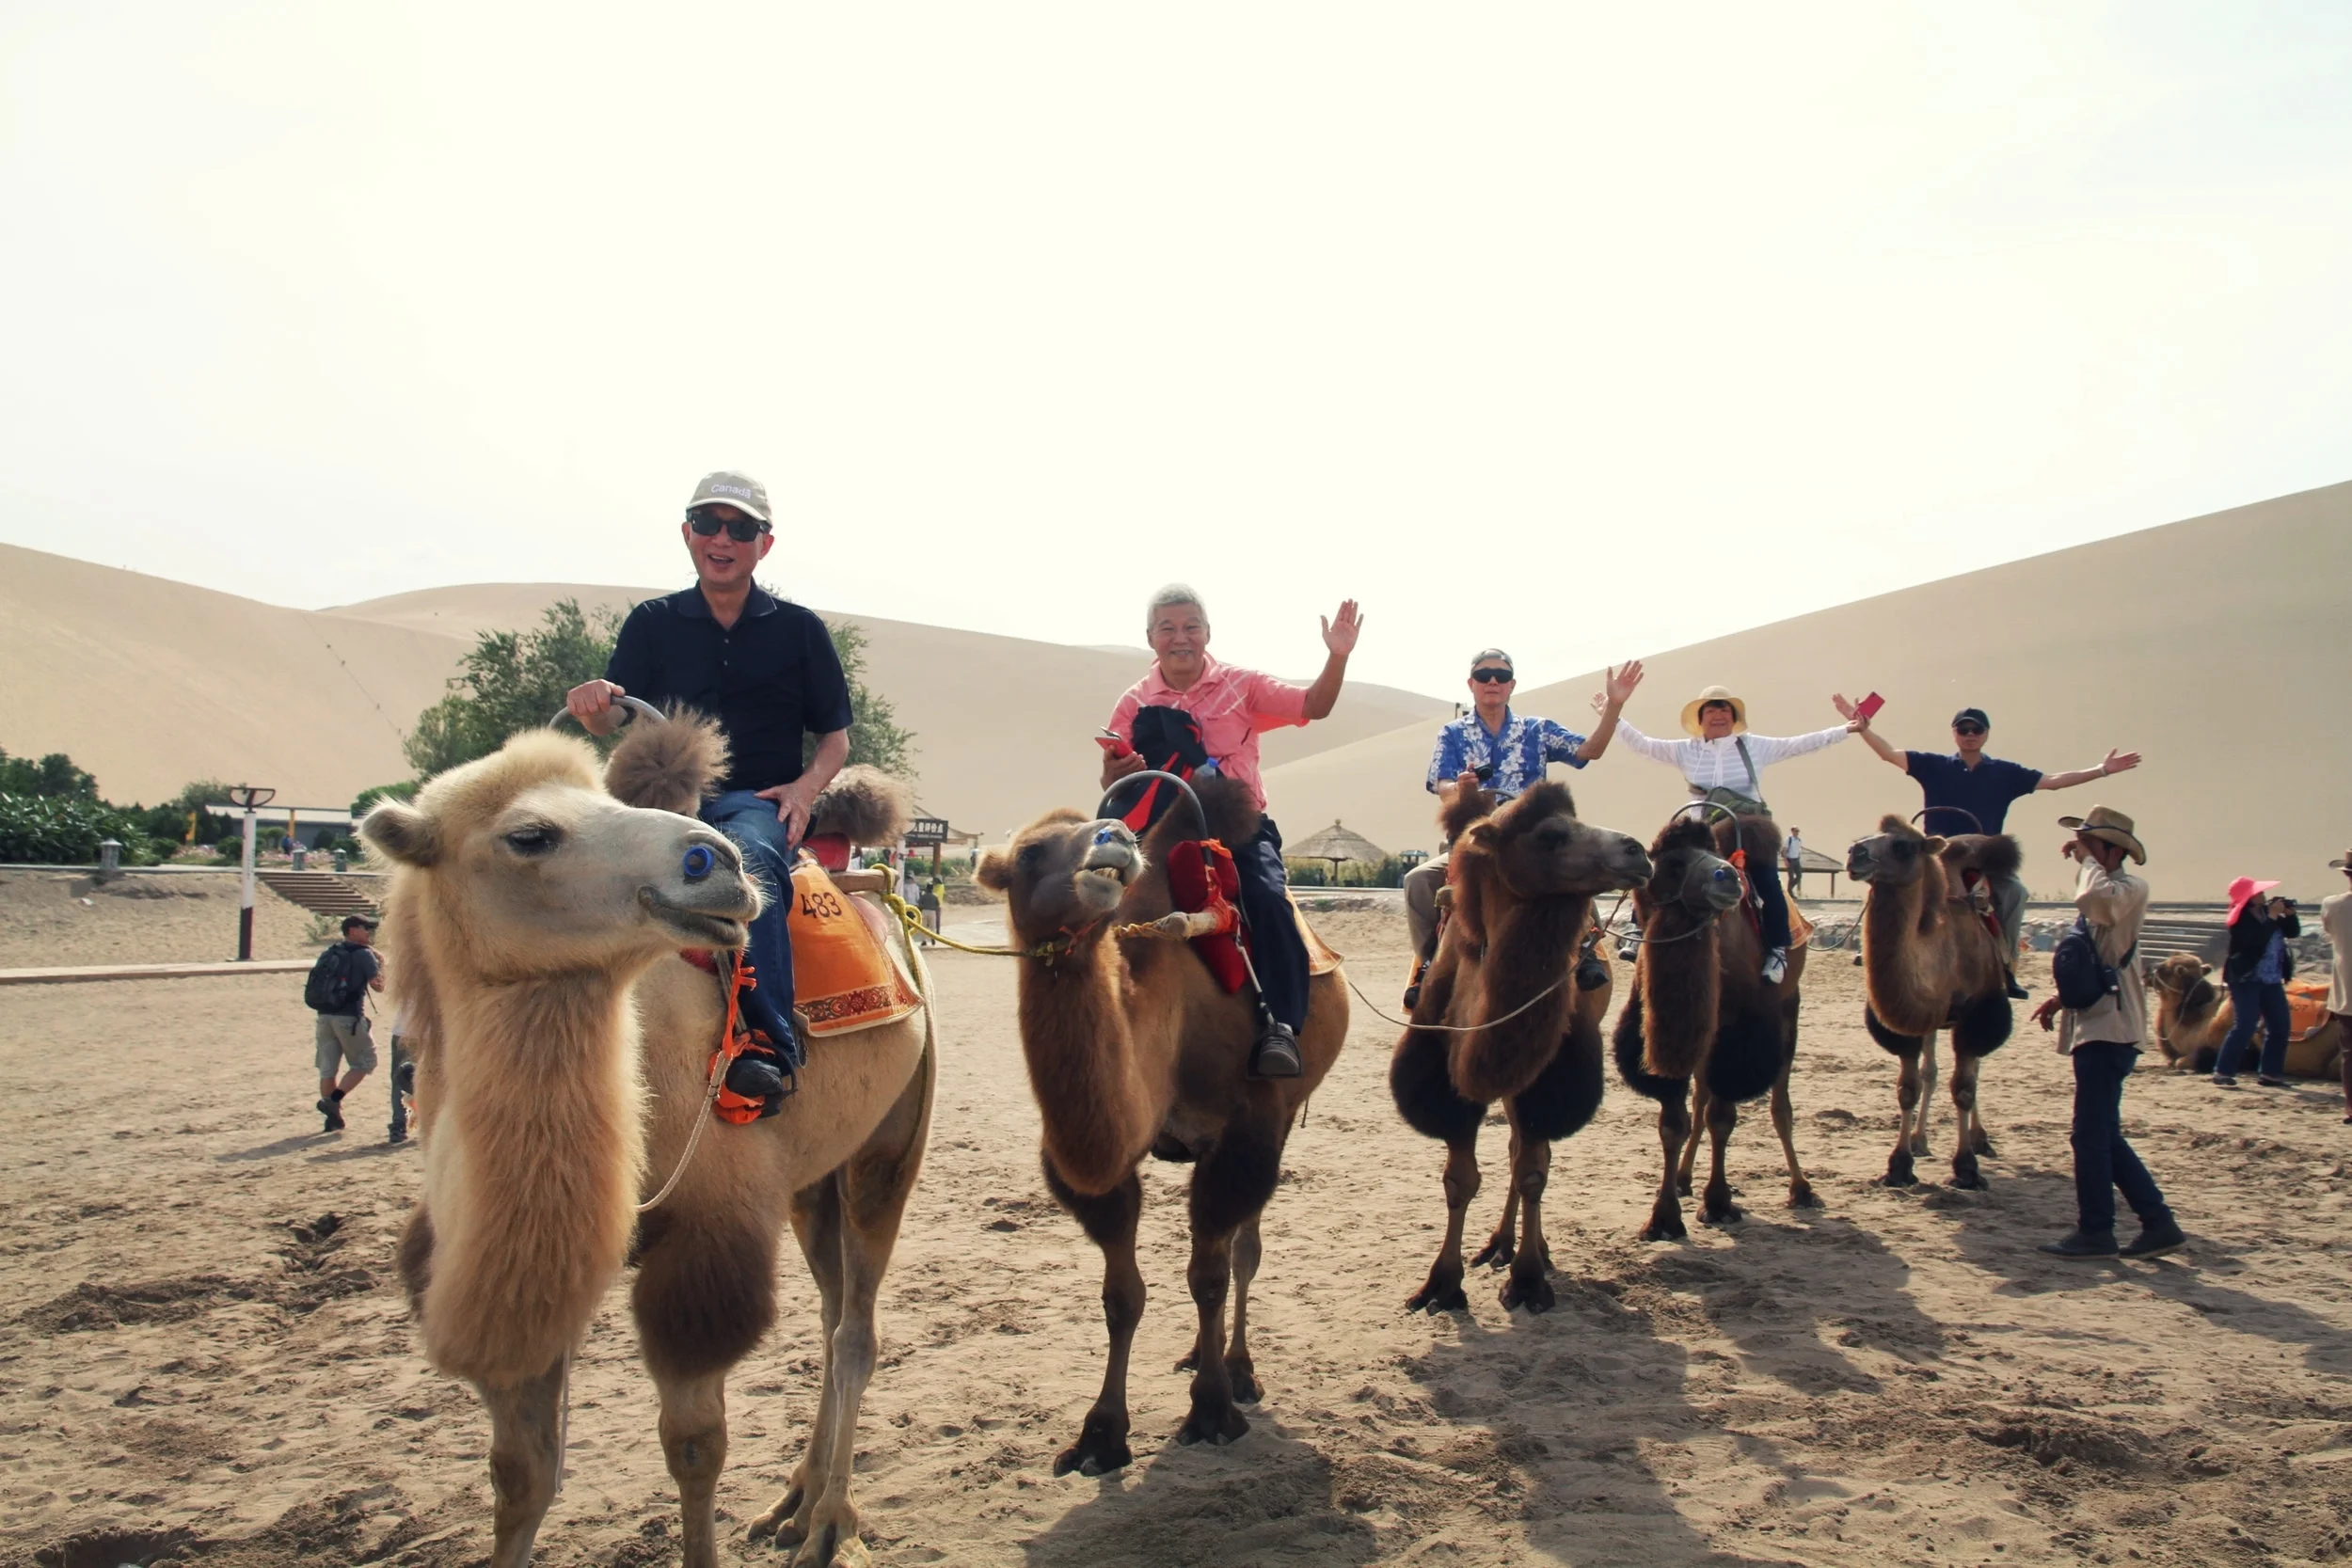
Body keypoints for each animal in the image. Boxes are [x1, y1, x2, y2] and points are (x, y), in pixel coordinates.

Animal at [365, 716, 934, 1568]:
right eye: (529, 834)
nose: (715, 861)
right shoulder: (514, 1265)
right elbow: (520, 1473)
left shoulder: (704, 1241)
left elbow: (694, 1445)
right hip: (810, 1182)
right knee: (832, 1317)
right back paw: (794, 1500)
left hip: (890, 1144)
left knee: (856, 1332)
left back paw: (831, 1523)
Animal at [974, 774, 1346, 1477]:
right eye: (1030, 852)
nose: (1115, 839)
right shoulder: (1104, 1164)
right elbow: (1122, 1294)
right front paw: (1100, 1435)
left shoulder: (1245, 1134)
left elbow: (1210, 1275)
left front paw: (1212, 1411)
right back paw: (1201, 1355)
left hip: (1281, 1115)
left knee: (1243, 1252)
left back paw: (1237, 1368)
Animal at [1387, 782, 1652, 1315]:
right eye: (1550, 835)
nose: (1638, 851)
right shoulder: (1447, 1087)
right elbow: (1459, 1179)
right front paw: (1441, 1285)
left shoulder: (1546, 1082)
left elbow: (1532, 1171)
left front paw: (1529, 1281)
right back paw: (1499, 1244)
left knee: (1524, 1153)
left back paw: (1521, 1248)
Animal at [1613, 812, 1819, 1241]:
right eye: (1674, 863)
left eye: (1714, 855)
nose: (1727, 877)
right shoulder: (1664, 1033)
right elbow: (1673, 1123)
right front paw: (1663, 1218)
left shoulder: (1735, 1038)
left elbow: (1722, 1118)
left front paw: (1719, 1203)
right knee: (1702, 1100)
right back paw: (1683, 1178)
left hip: (1788, 1013)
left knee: (1779, 1104)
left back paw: (1801, 1188)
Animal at [1845, 814, 2018, 1190]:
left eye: (1902, 845)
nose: (1855, 853)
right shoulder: (1907, 1023)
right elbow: (1908, 1087)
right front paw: (1899, 1164)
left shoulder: (1976, 1017)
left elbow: (1964, 1088)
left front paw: (1966, 1168)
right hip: (1934, 1023)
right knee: (1932, 1072)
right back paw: (1919, 1140)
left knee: (1972, 1072)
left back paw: (1980, 1139)